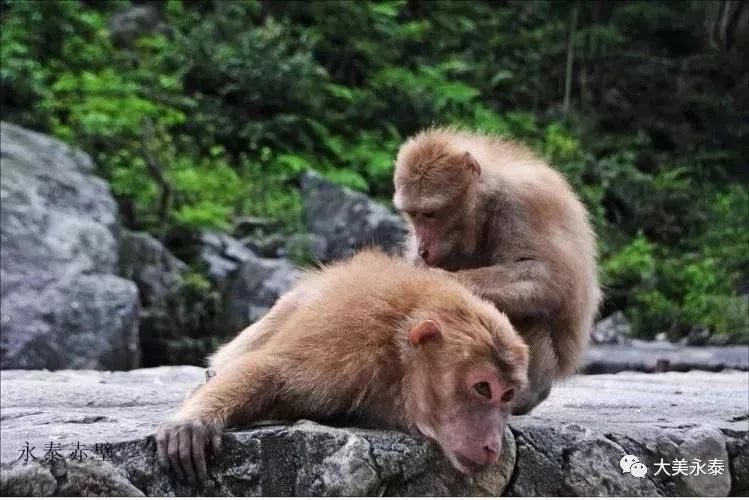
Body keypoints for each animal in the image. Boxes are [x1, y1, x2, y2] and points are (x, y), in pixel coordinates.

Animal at [394, 127, 600, 416]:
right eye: (413, 215)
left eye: (430, 214)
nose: (423, 247)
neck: (485, 204)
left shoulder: (522, 204)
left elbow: (552, 279)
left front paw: (435, 279)